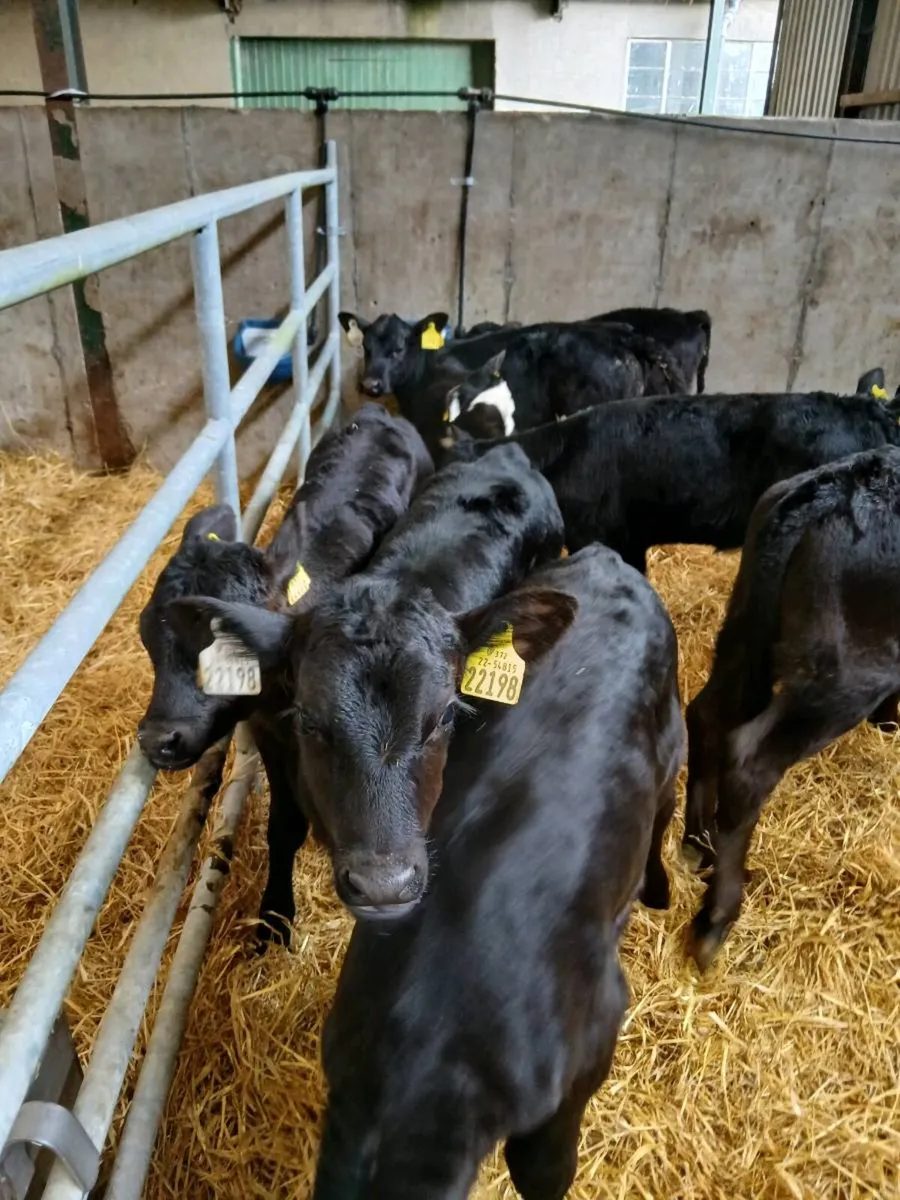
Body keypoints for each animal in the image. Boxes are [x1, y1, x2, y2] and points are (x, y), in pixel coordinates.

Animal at [137, 404, 432, 942]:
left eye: (225, 644)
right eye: (147, 633)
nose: (158, 739)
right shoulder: (270, 736)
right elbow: (284, 825)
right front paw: (274, 915)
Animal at [167, 443, 565, 922]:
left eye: (446, 716)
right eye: (308, 720)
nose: (383, 886)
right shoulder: (275, 743)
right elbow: (284, 827)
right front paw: (274, 916)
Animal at [683, 446, 900, 970]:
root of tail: (838, 484)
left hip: (743, 629)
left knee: (705, 716)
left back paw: (698, 844)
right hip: (848, 675)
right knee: (748, 762)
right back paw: (716, 918)